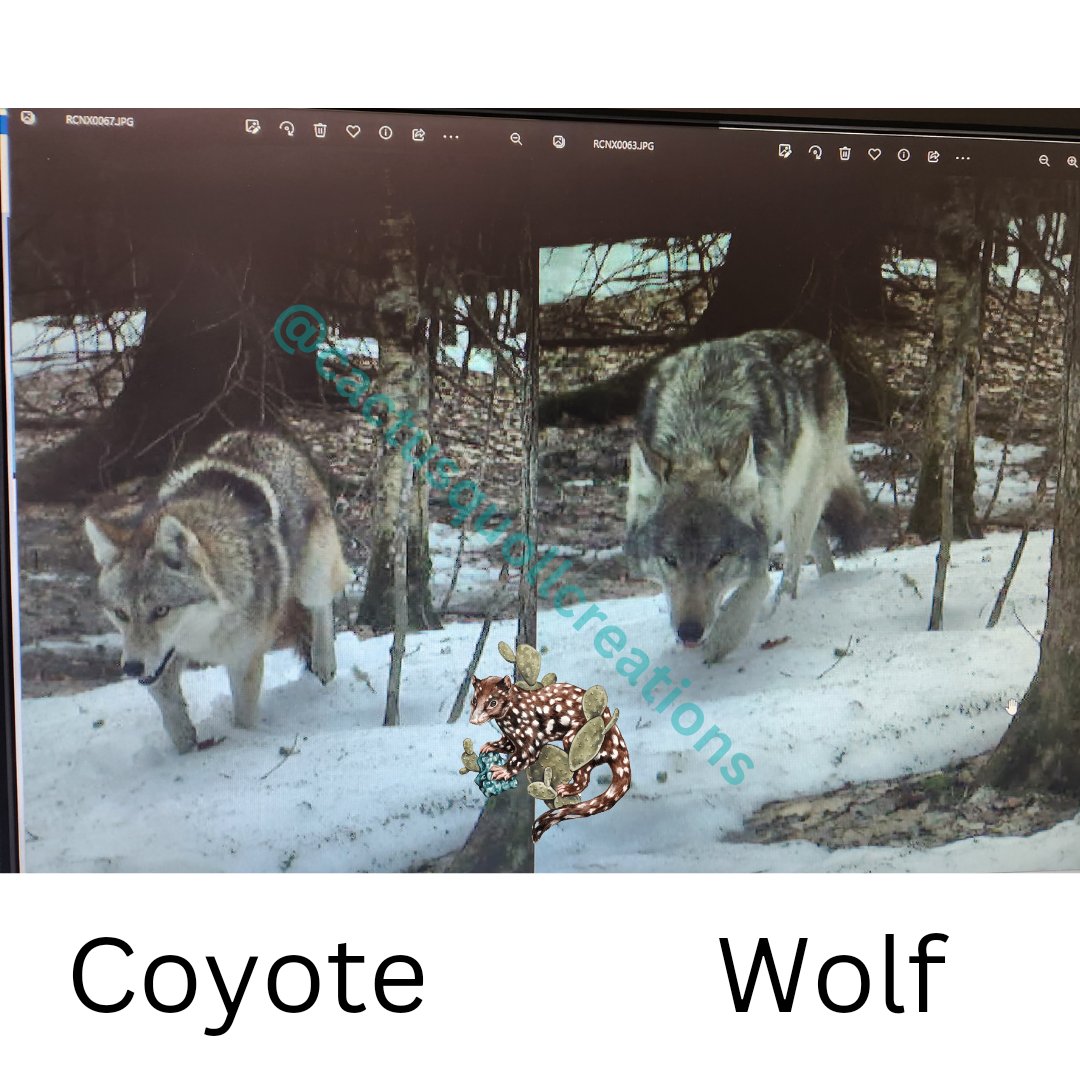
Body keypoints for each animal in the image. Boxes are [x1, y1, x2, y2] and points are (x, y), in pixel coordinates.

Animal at [84, 430, 350, 752]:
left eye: (161, 610)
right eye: (121, 613)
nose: (132, 669)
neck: (208, 629)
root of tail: (262, 434)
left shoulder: (244, 660)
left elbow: (243, 718)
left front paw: (242, 743)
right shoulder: (163, 659)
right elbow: (167, 701)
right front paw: (186, 744)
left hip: (312, 579)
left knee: (325, 602)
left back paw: (324, 661)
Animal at [625, 330, 868, 662]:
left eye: (717, 558)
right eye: (670, 559)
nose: (689, 632)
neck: (698, 437)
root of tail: (812, 339)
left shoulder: (762, 537)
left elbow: (753, 588)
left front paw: (717, 645)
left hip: (802, 504)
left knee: (791, 572)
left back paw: (779, 612)